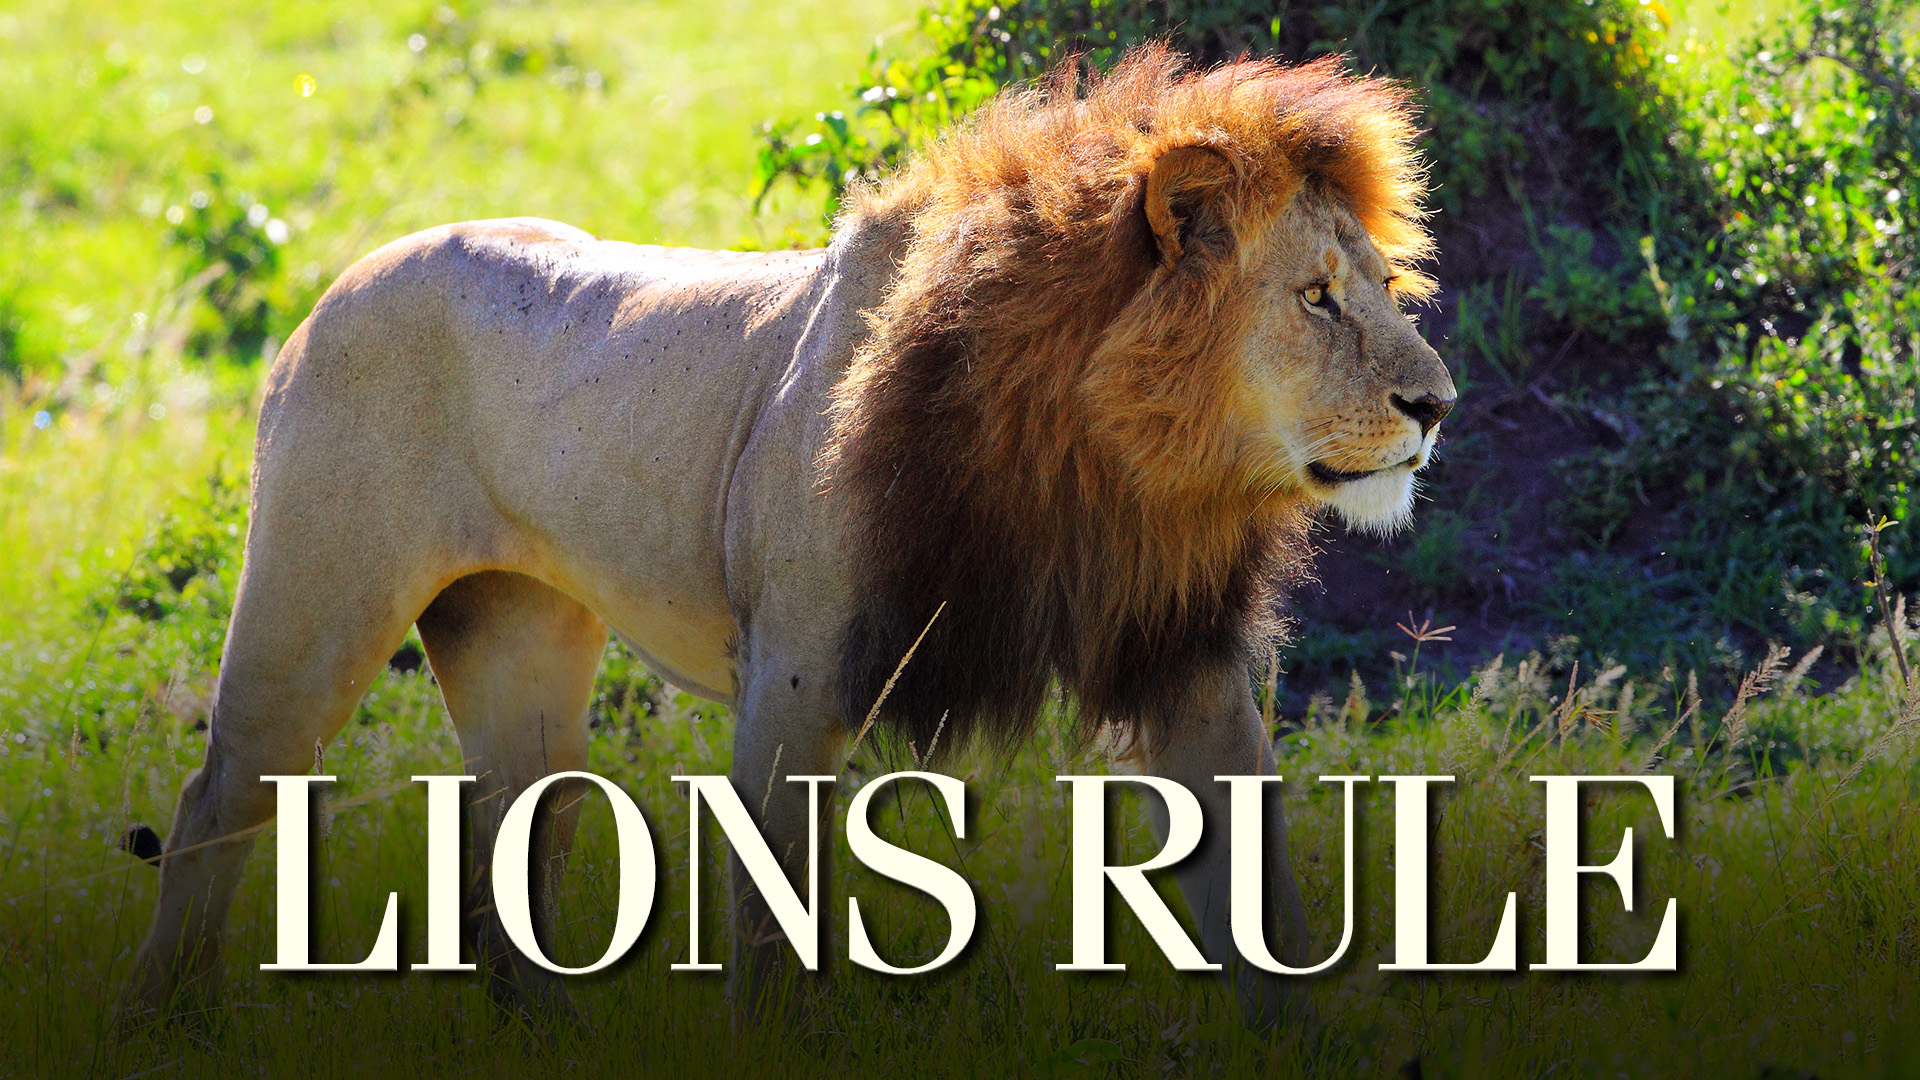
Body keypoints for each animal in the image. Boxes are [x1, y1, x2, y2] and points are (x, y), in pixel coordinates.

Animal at [126, 46, 1455, 1030]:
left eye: (1387, 287)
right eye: (1315, 297)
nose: (1437, 406)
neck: (1102, 460)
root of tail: (337, 284)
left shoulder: (1183, 663)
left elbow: (1261, 887)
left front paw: (1301, 1043)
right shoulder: (798, 678)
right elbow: (776, 913)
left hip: (521, 642)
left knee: (511, 831)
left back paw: (545, 1034)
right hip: (312, 614)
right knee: (212, 799)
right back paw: (168, 1021)